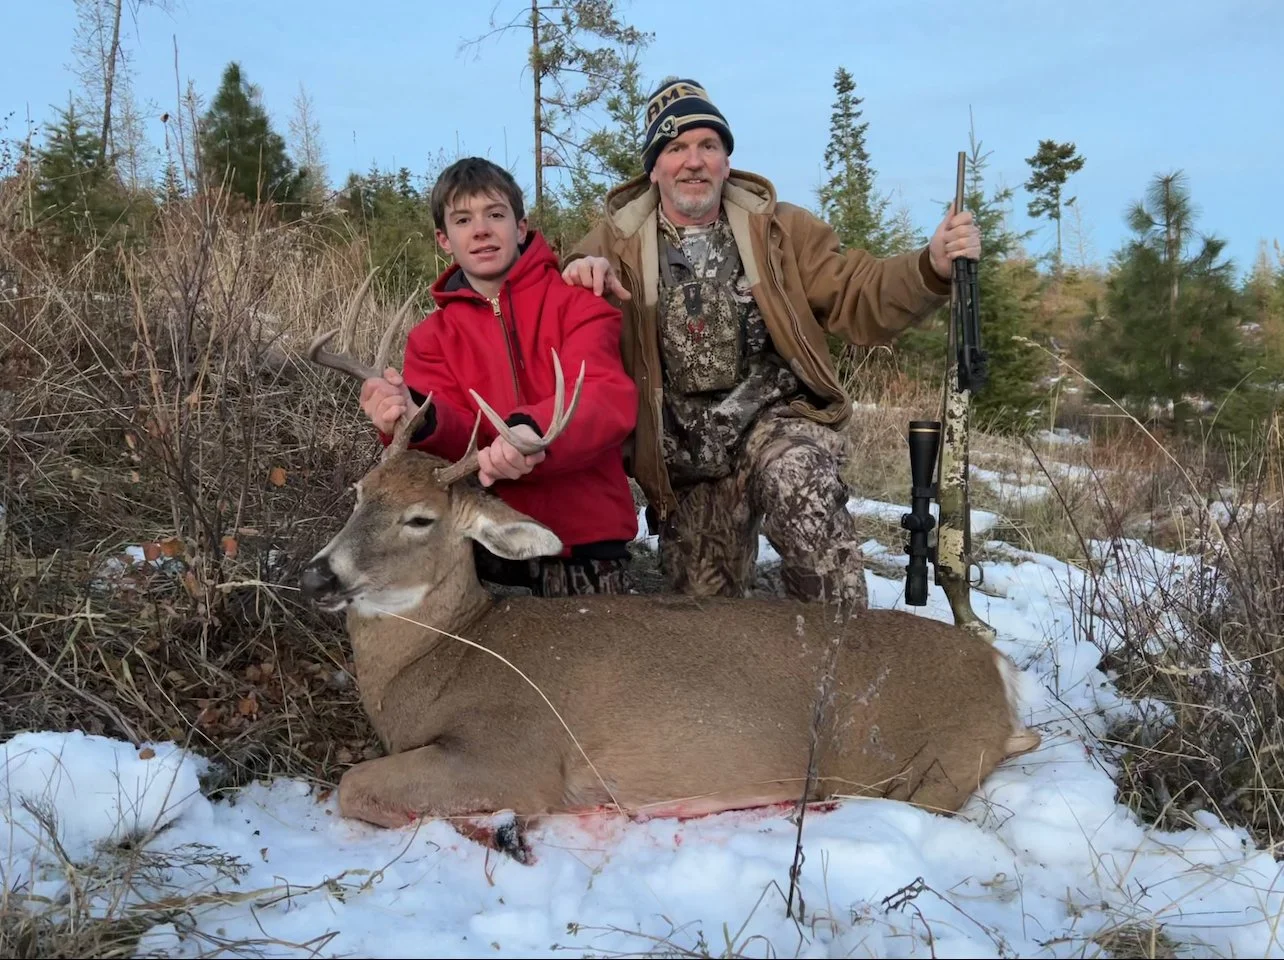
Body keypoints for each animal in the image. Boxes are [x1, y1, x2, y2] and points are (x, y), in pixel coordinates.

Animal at [297, 308, 1042, 860]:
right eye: (360, 493)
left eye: (420, 518)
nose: (316, 574)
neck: (446, 654)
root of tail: (1000, 669)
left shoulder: (514, 750)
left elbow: (354, 784)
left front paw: (502, 829)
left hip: (934, 760)